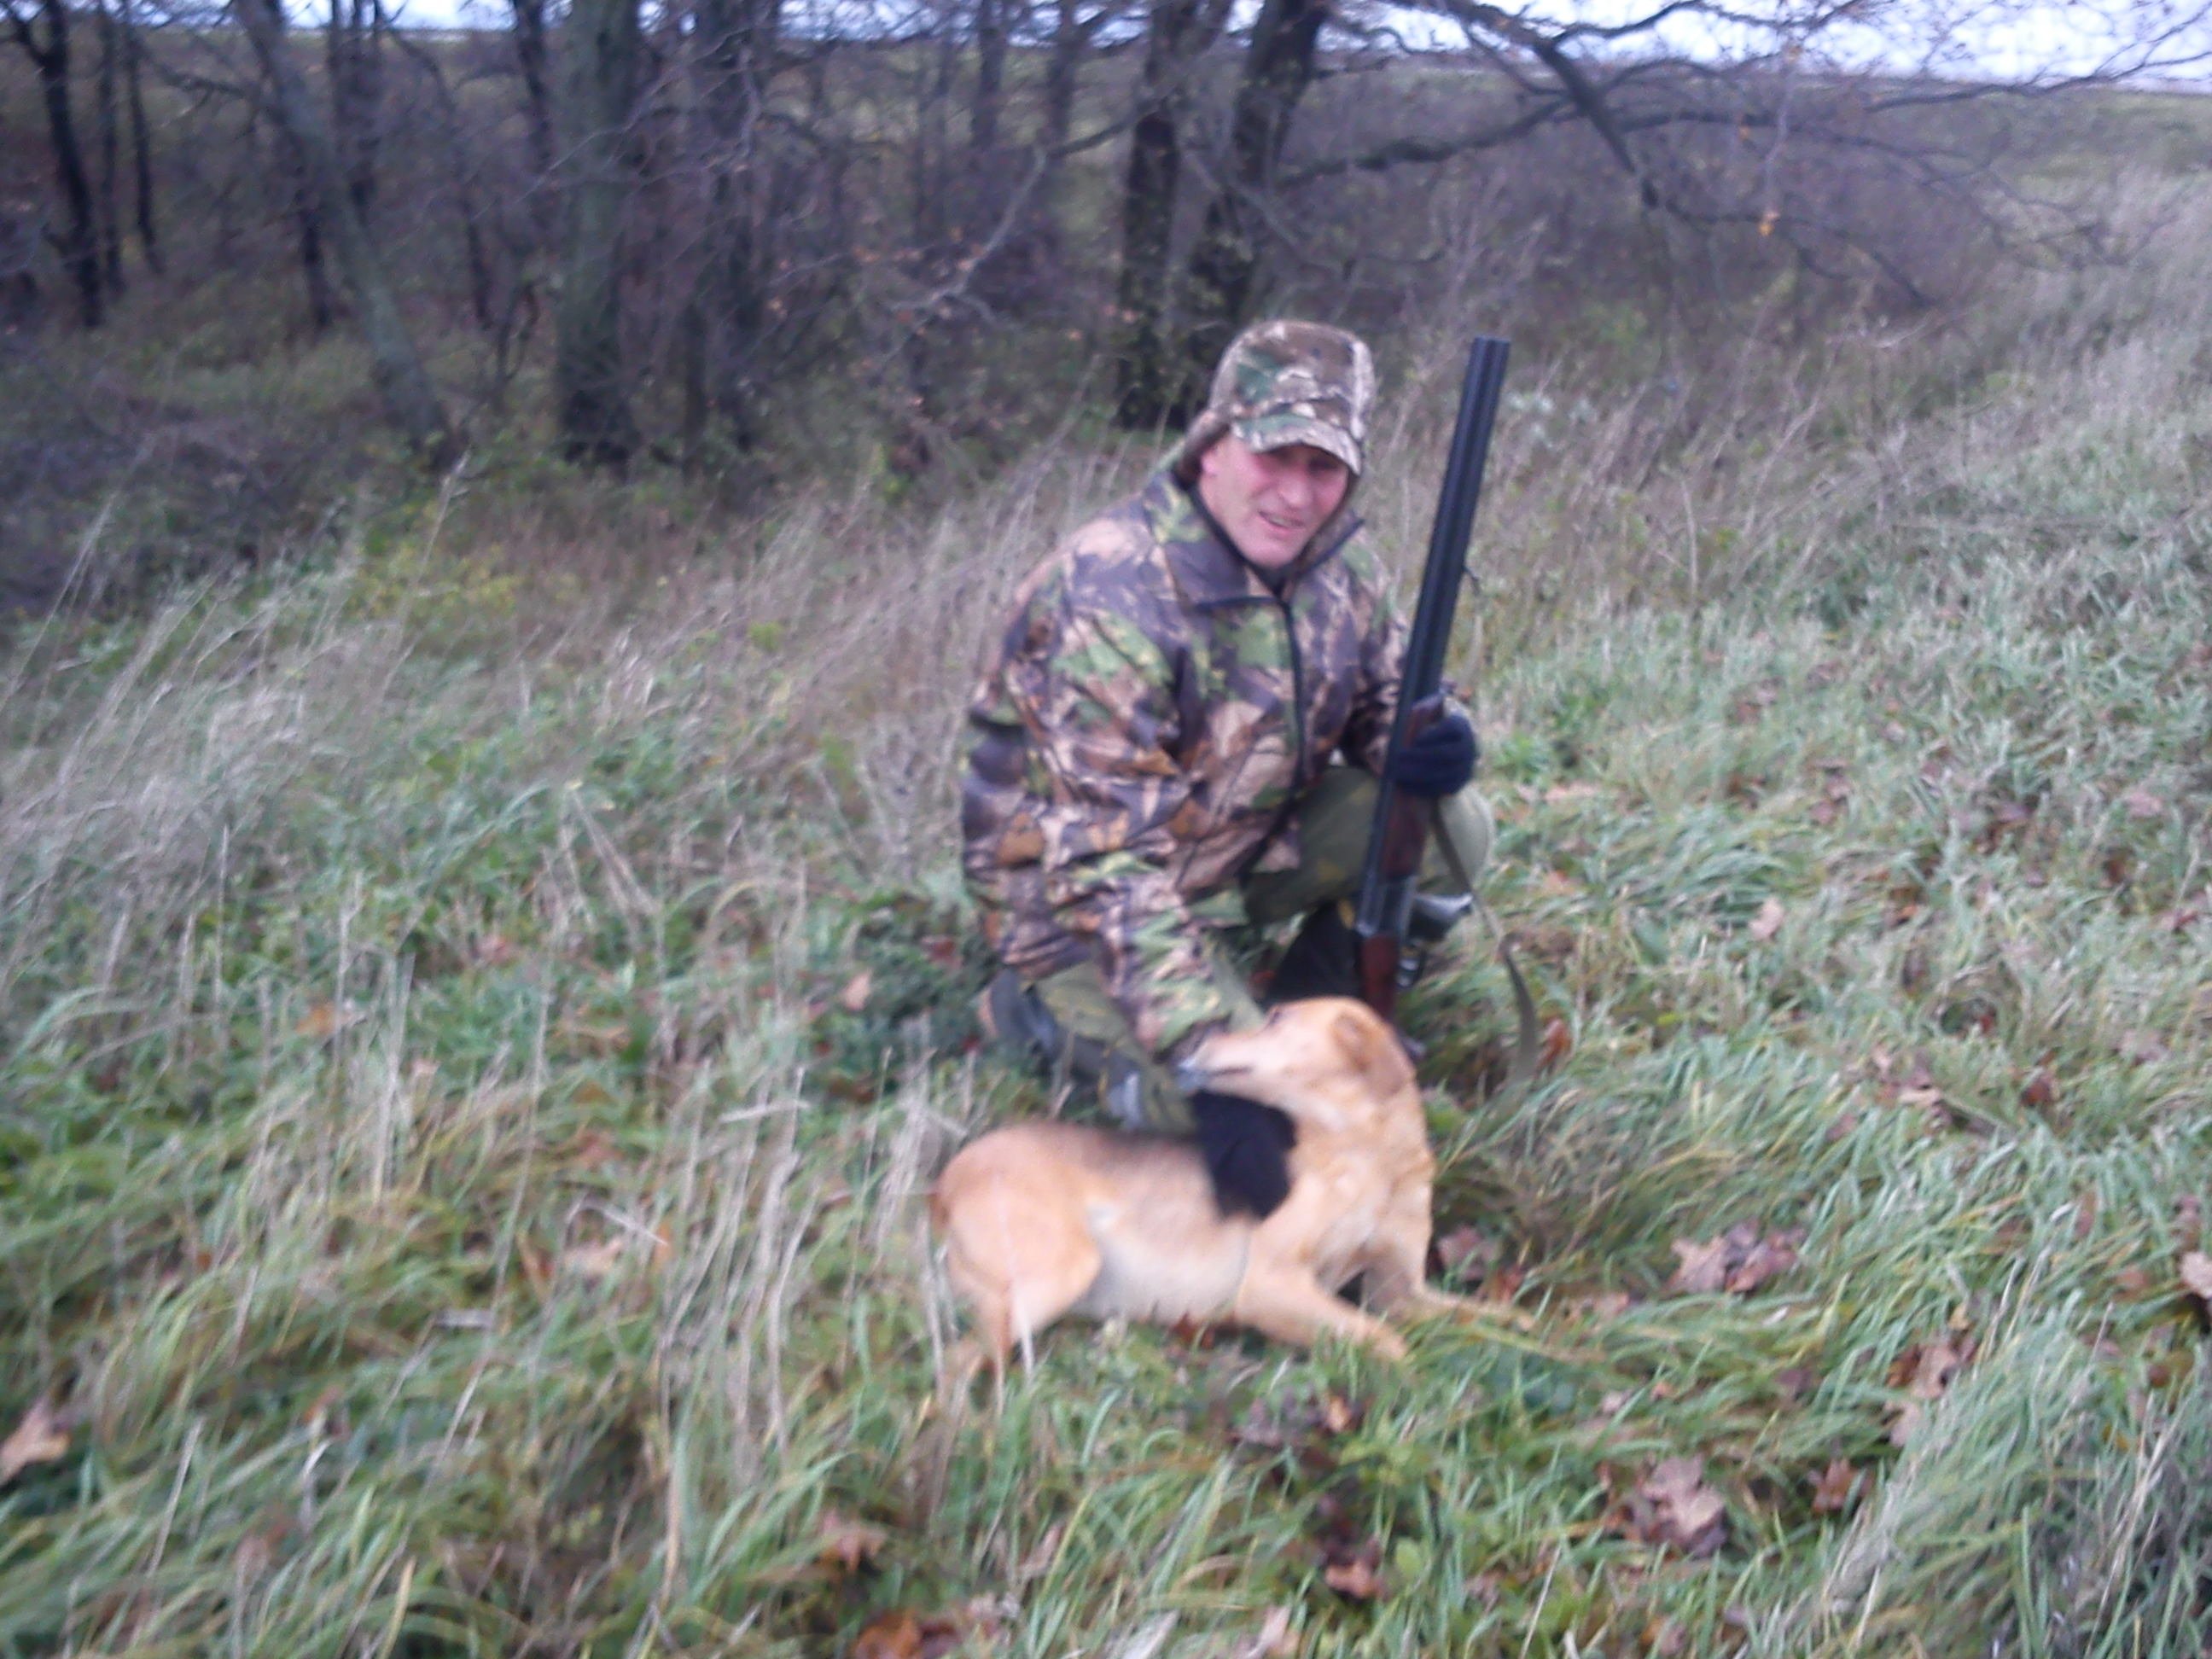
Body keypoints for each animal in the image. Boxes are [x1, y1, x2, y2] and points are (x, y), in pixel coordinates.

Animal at [931, 997, 1499, 1379]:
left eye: (1275, 1018)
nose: (1199, 1039)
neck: (1369, 1161)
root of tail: (945, 1180)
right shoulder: (1271, 1286)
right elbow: (1391, 1344)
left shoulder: (1403, 1291)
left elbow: (1495, 1318)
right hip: (1054, 1274)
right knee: (952, 1369)